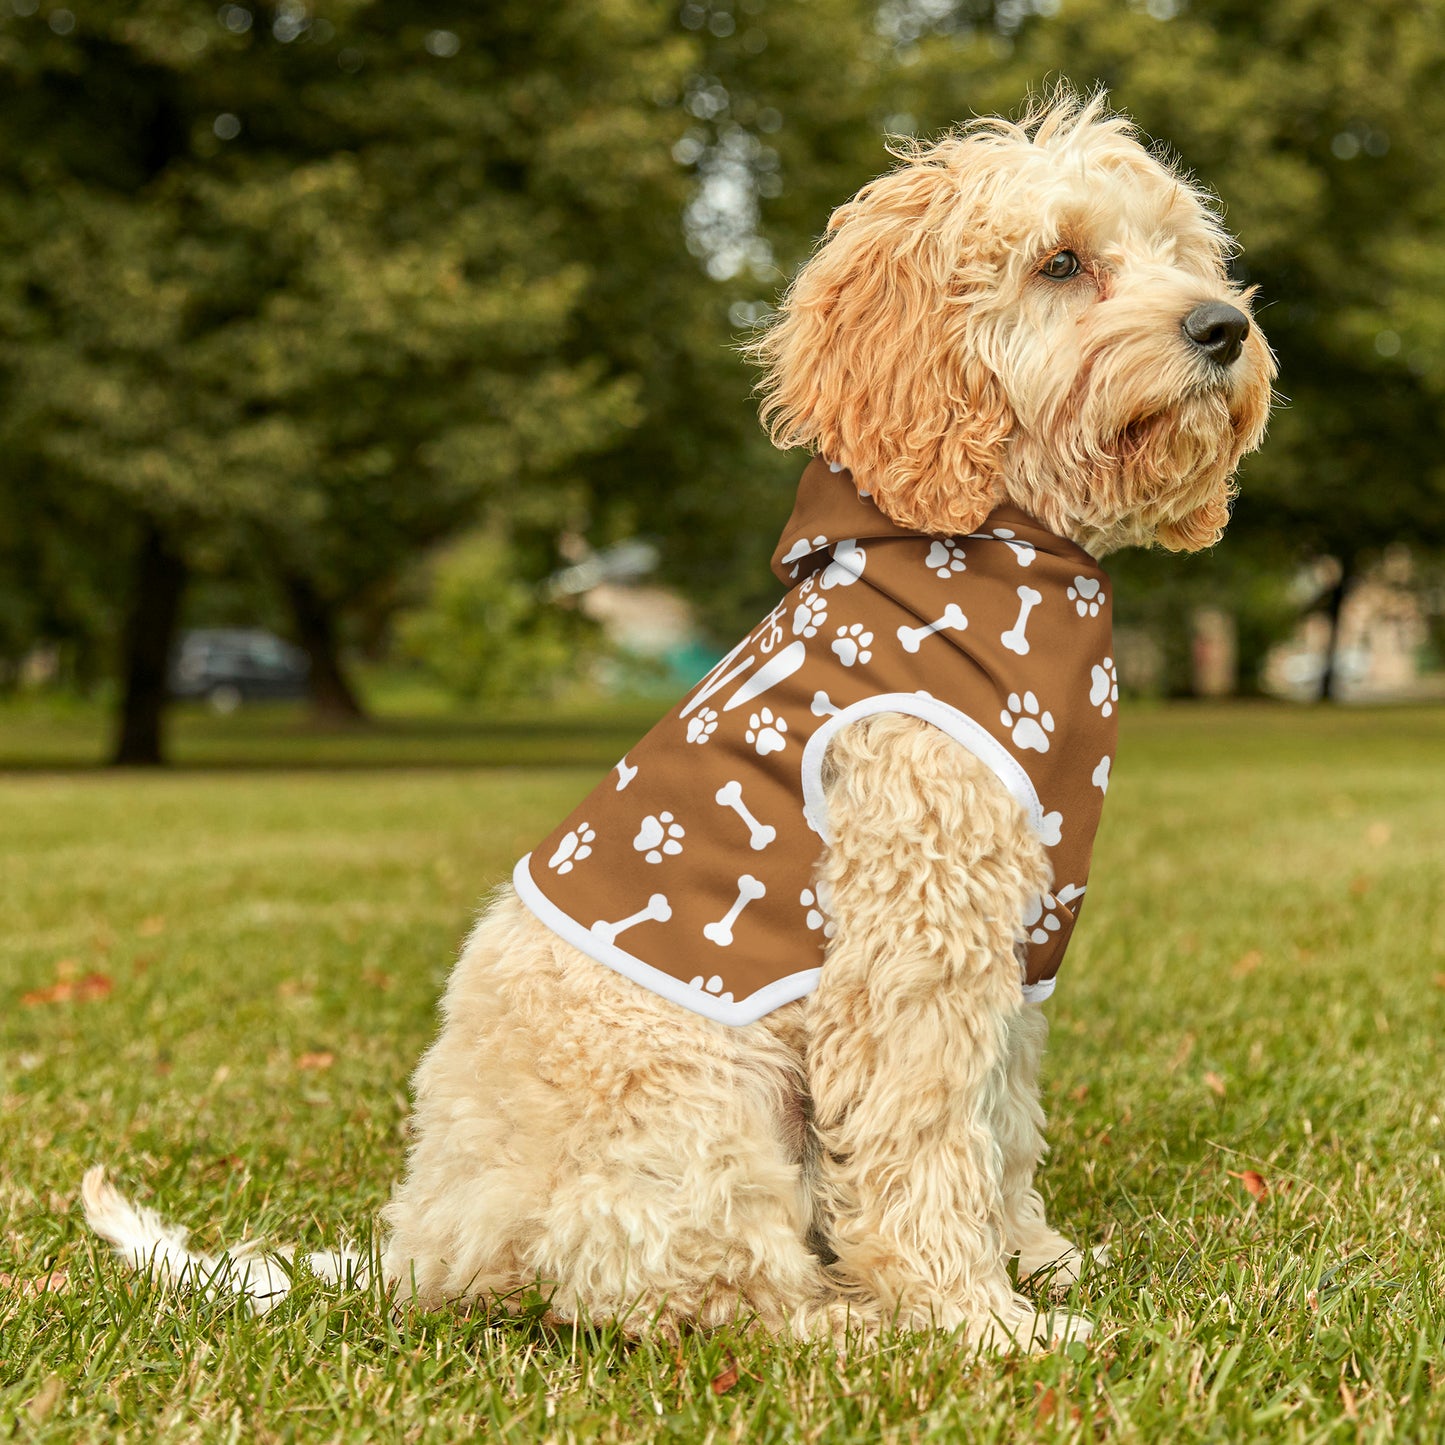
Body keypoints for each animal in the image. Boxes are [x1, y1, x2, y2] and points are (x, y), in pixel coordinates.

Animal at [84, 96, 1271, 1346]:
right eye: (1060, 262)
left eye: (1181, 252)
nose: (1222, 326)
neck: (998, 549)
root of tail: (424, 1246)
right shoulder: (913, 940)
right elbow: (924, 1140)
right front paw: (977, 1319)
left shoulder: (1016, 940)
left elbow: (1000, 1121)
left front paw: (1034, 1259)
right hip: (704, 1104)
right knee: (700, 1287)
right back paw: (848, 1319)